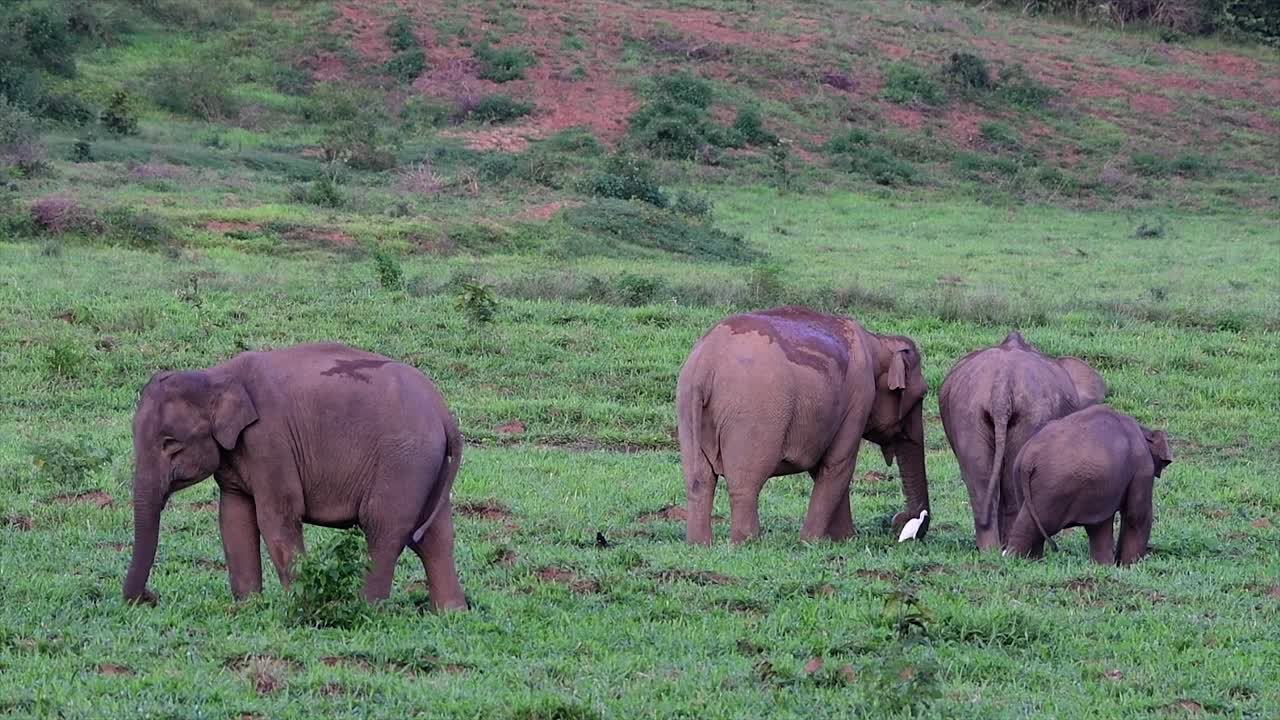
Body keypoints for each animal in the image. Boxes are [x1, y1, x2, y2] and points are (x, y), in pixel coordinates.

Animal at [123, 342, 467, 611]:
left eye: (170, 444)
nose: (150, 597)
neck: (216, 375)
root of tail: (445, 413)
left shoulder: (269, 440)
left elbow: (276, 517)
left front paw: (300, 605)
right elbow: (234, 518)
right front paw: (249, 607)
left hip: (404, 460)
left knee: (383, 529)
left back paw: (366, 608)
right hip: (426, 465)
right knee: (435, 536)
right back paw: (451, 612)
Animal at [676, 306, 931, 545]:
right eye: (921, 395)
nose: (899, 522)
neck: (878, 341)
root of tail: (705, 366)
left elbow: (824, 468)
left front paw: (842, 540)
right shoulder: (860, 398)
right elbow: (838, 465)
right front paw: (812, 541)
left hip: (687, 409)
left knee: (699, 480)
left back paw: (699, 545)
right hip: (752, 413)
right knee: (745, 483)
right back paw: (747, 544)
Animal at [939, 331, 1105, 551]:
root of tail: (1001, 386)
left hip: (968, 412)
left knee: (981, 481)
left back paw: (991, 550)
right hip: (1030, 413)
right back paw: (1007, 548)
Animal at [1004, 405, 1172, 564]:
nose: (1118, 561)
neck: (1142, 429)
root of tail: (1029, 458)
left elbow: (1100, 525)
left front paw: (1104, 566)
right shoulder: (1143, 468)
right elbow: (1136, 516)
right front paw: (1129, 567)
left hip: (1020, 478)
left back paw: (1032, 561)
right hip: (1053, 487)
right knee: (1036, 525)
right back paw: (1015, 560)